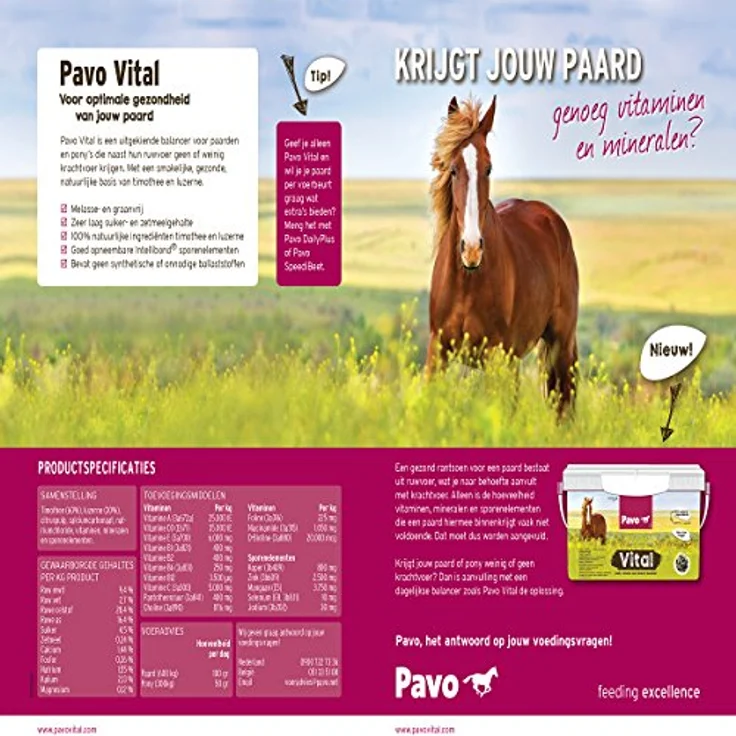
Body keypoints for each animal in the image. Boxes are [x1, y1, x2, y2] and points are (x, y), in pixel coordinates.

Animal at [426, 95, 580, 417]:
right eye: (453, 169)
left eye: (488, 168)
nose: (472, 249)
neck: (468, 281)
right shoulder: (438, 351)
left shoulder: (497, 354)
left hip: (559, 342)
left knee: (563, 405)